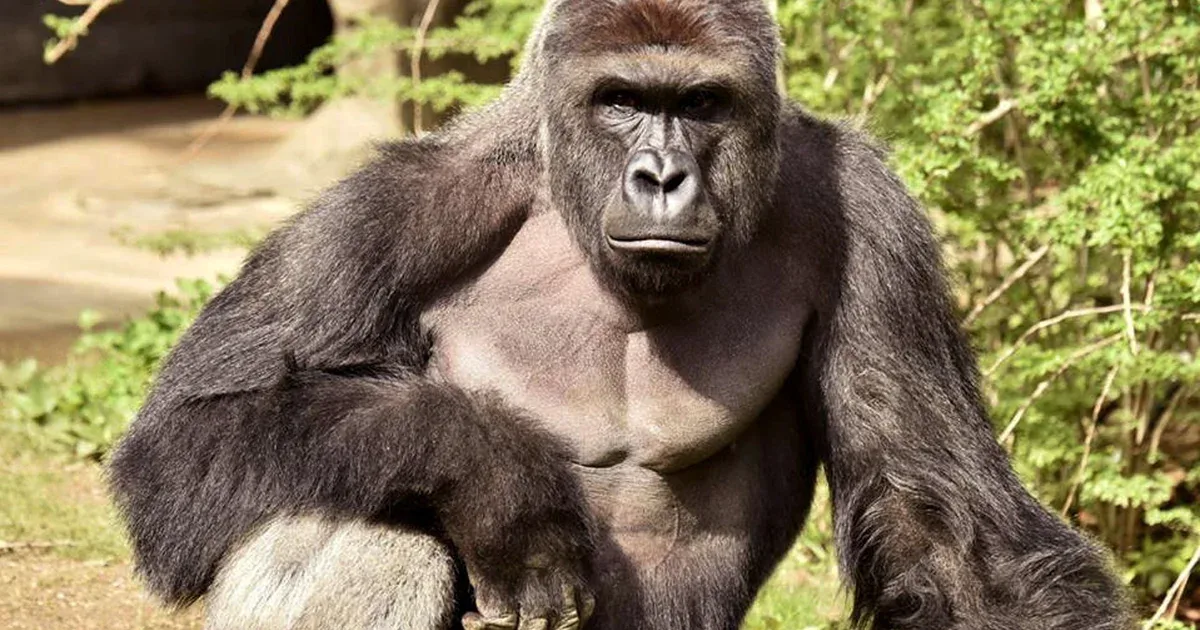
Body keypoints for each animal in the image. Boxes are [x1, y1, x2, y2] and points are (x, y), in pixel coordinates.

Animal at [109, 1, 1131, 629]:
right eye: (621, 100)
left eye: (702, 103)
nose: (663, 176)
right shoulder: (392, 211)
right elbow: (182, 443)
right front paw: (498, 477)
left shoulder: (870, 220)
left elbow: (942, 526)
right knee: (368, 529)